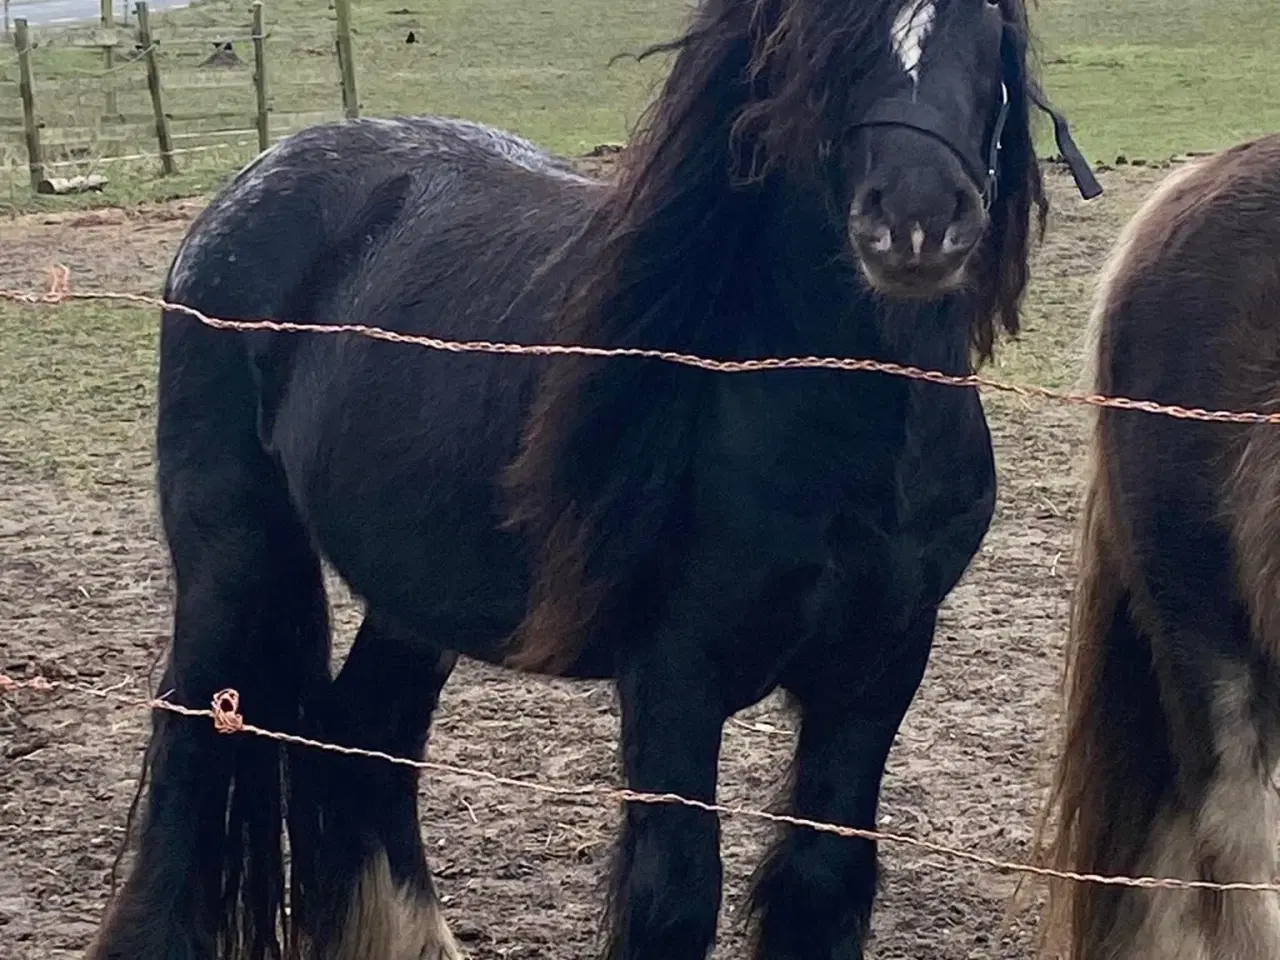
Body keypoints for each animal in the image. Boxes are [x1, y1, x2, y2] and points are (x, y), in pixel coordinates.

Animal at [92, 1, 1100, 960]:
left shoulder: (881, 660)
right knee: (192, 746)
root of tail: (253, 184)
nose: (917, 219)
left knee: (367, 737)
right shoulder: (673, 670)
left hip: (416, 597)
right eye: (815, 38)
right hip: (234, 556)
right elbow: (673, 895)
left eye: (989, 20)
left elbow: (820, 882)